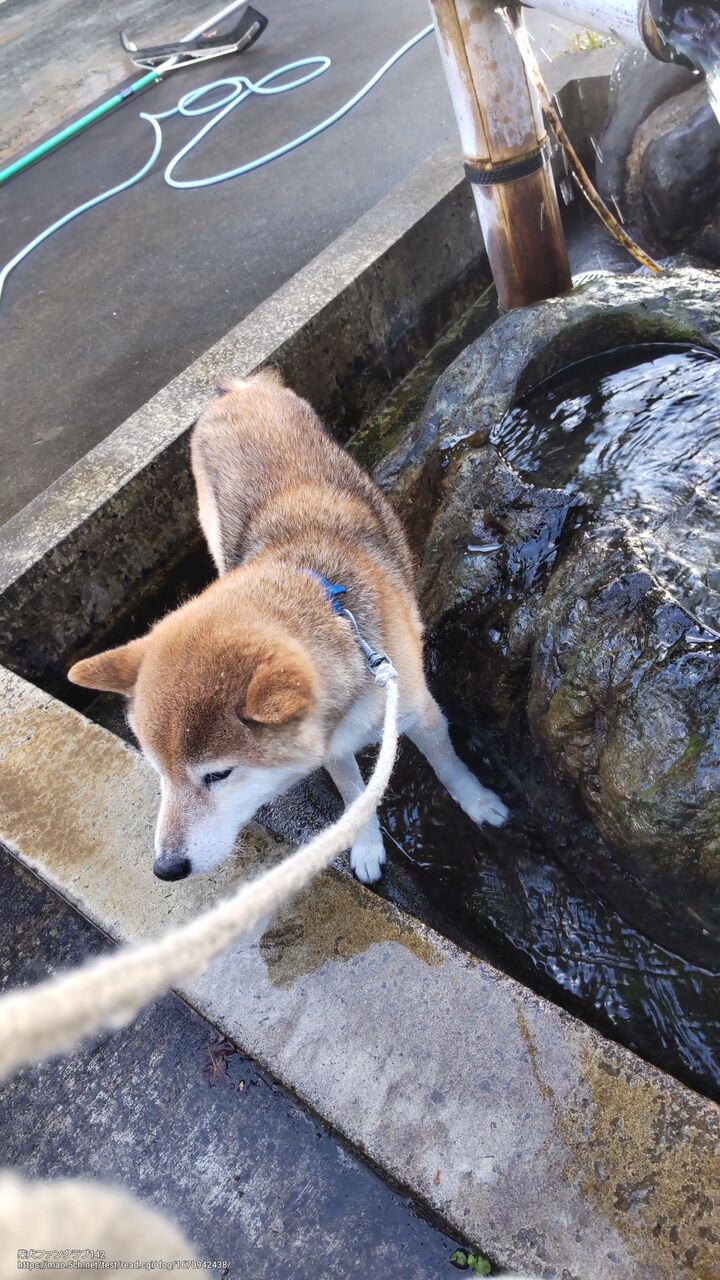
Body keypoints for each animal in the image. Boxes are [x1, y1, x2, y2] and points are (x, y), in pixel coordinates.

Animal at [68, 370, 508, 883]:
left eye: (218, 774)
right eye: (159, 771)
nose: (167, 868)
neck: (342, 623)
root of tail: (240, 391)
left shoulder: (419, 711)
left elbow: (448, 765)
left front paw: (479, 802)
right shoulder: (333, 745)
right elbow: (356, 796)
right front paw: (365, 845)